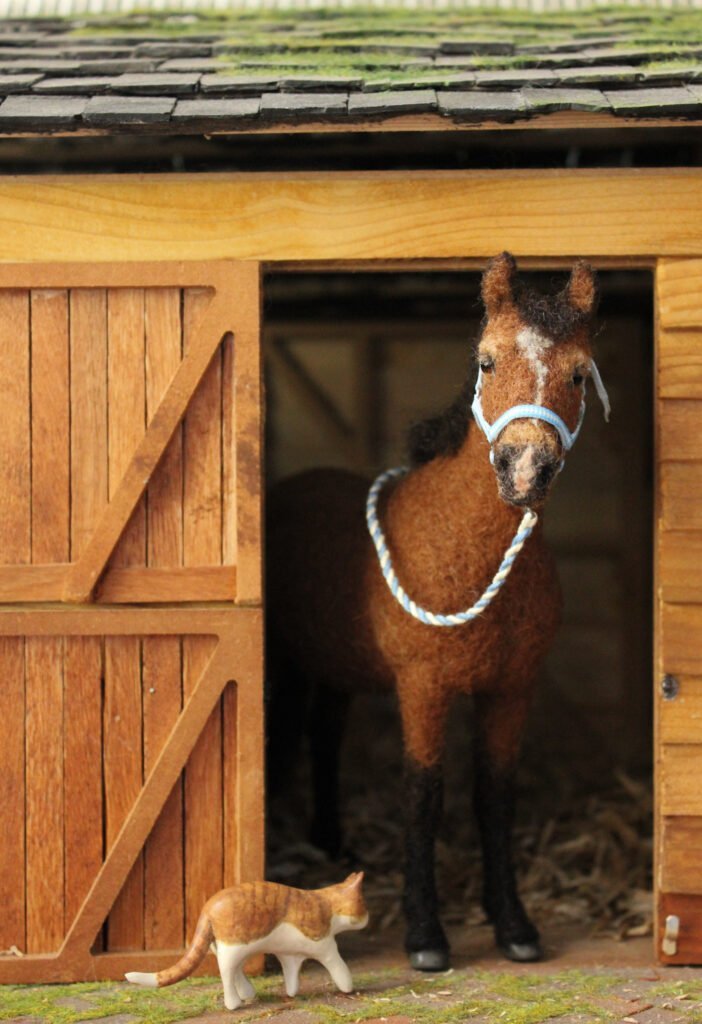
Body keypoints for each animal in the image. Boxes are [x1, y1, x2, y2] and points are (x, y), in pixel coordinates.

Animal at [125, 872, 368, 1007]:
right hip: (233, 947)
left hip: (230, 947)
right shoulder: (325, 948)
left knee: (236, 971)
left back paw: (248, 994)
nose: (368, 916)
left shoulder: (289, 955)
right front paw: (348, 988)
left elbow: (292, 976)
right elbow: (340, 969)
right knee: (226, 972)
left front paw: (291, 993)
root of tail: (208, 906)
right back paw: (233, 1004)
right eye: (362, 905)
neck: (327, 904)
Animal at [266, 251, 605, 970]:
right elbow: (423, 796)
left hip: (336, 668)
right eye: (486, 361)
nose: (525, 469)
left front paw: (515, 928)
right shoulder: (424, 686)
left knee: (325, 735)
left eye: (579, 372)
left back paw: (332, 841)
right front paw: (425, 937)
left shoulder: (512, 688)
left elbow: (495, 796)